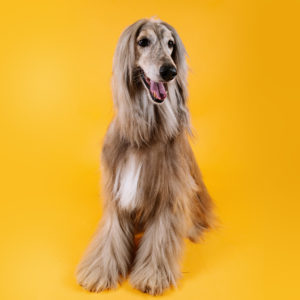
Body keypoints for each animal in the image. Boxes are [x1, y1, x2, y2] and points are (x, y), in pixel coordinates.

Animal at [76, 18, 214, 296]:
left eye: (171, 44)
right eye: (143, 41)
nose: (169, 71)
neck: (146, 132)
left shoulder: (169, 193)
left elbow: (159, 237)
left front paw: (152, 276)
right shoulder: (116, 191)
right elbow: (111, 234)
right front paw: (100, 271)